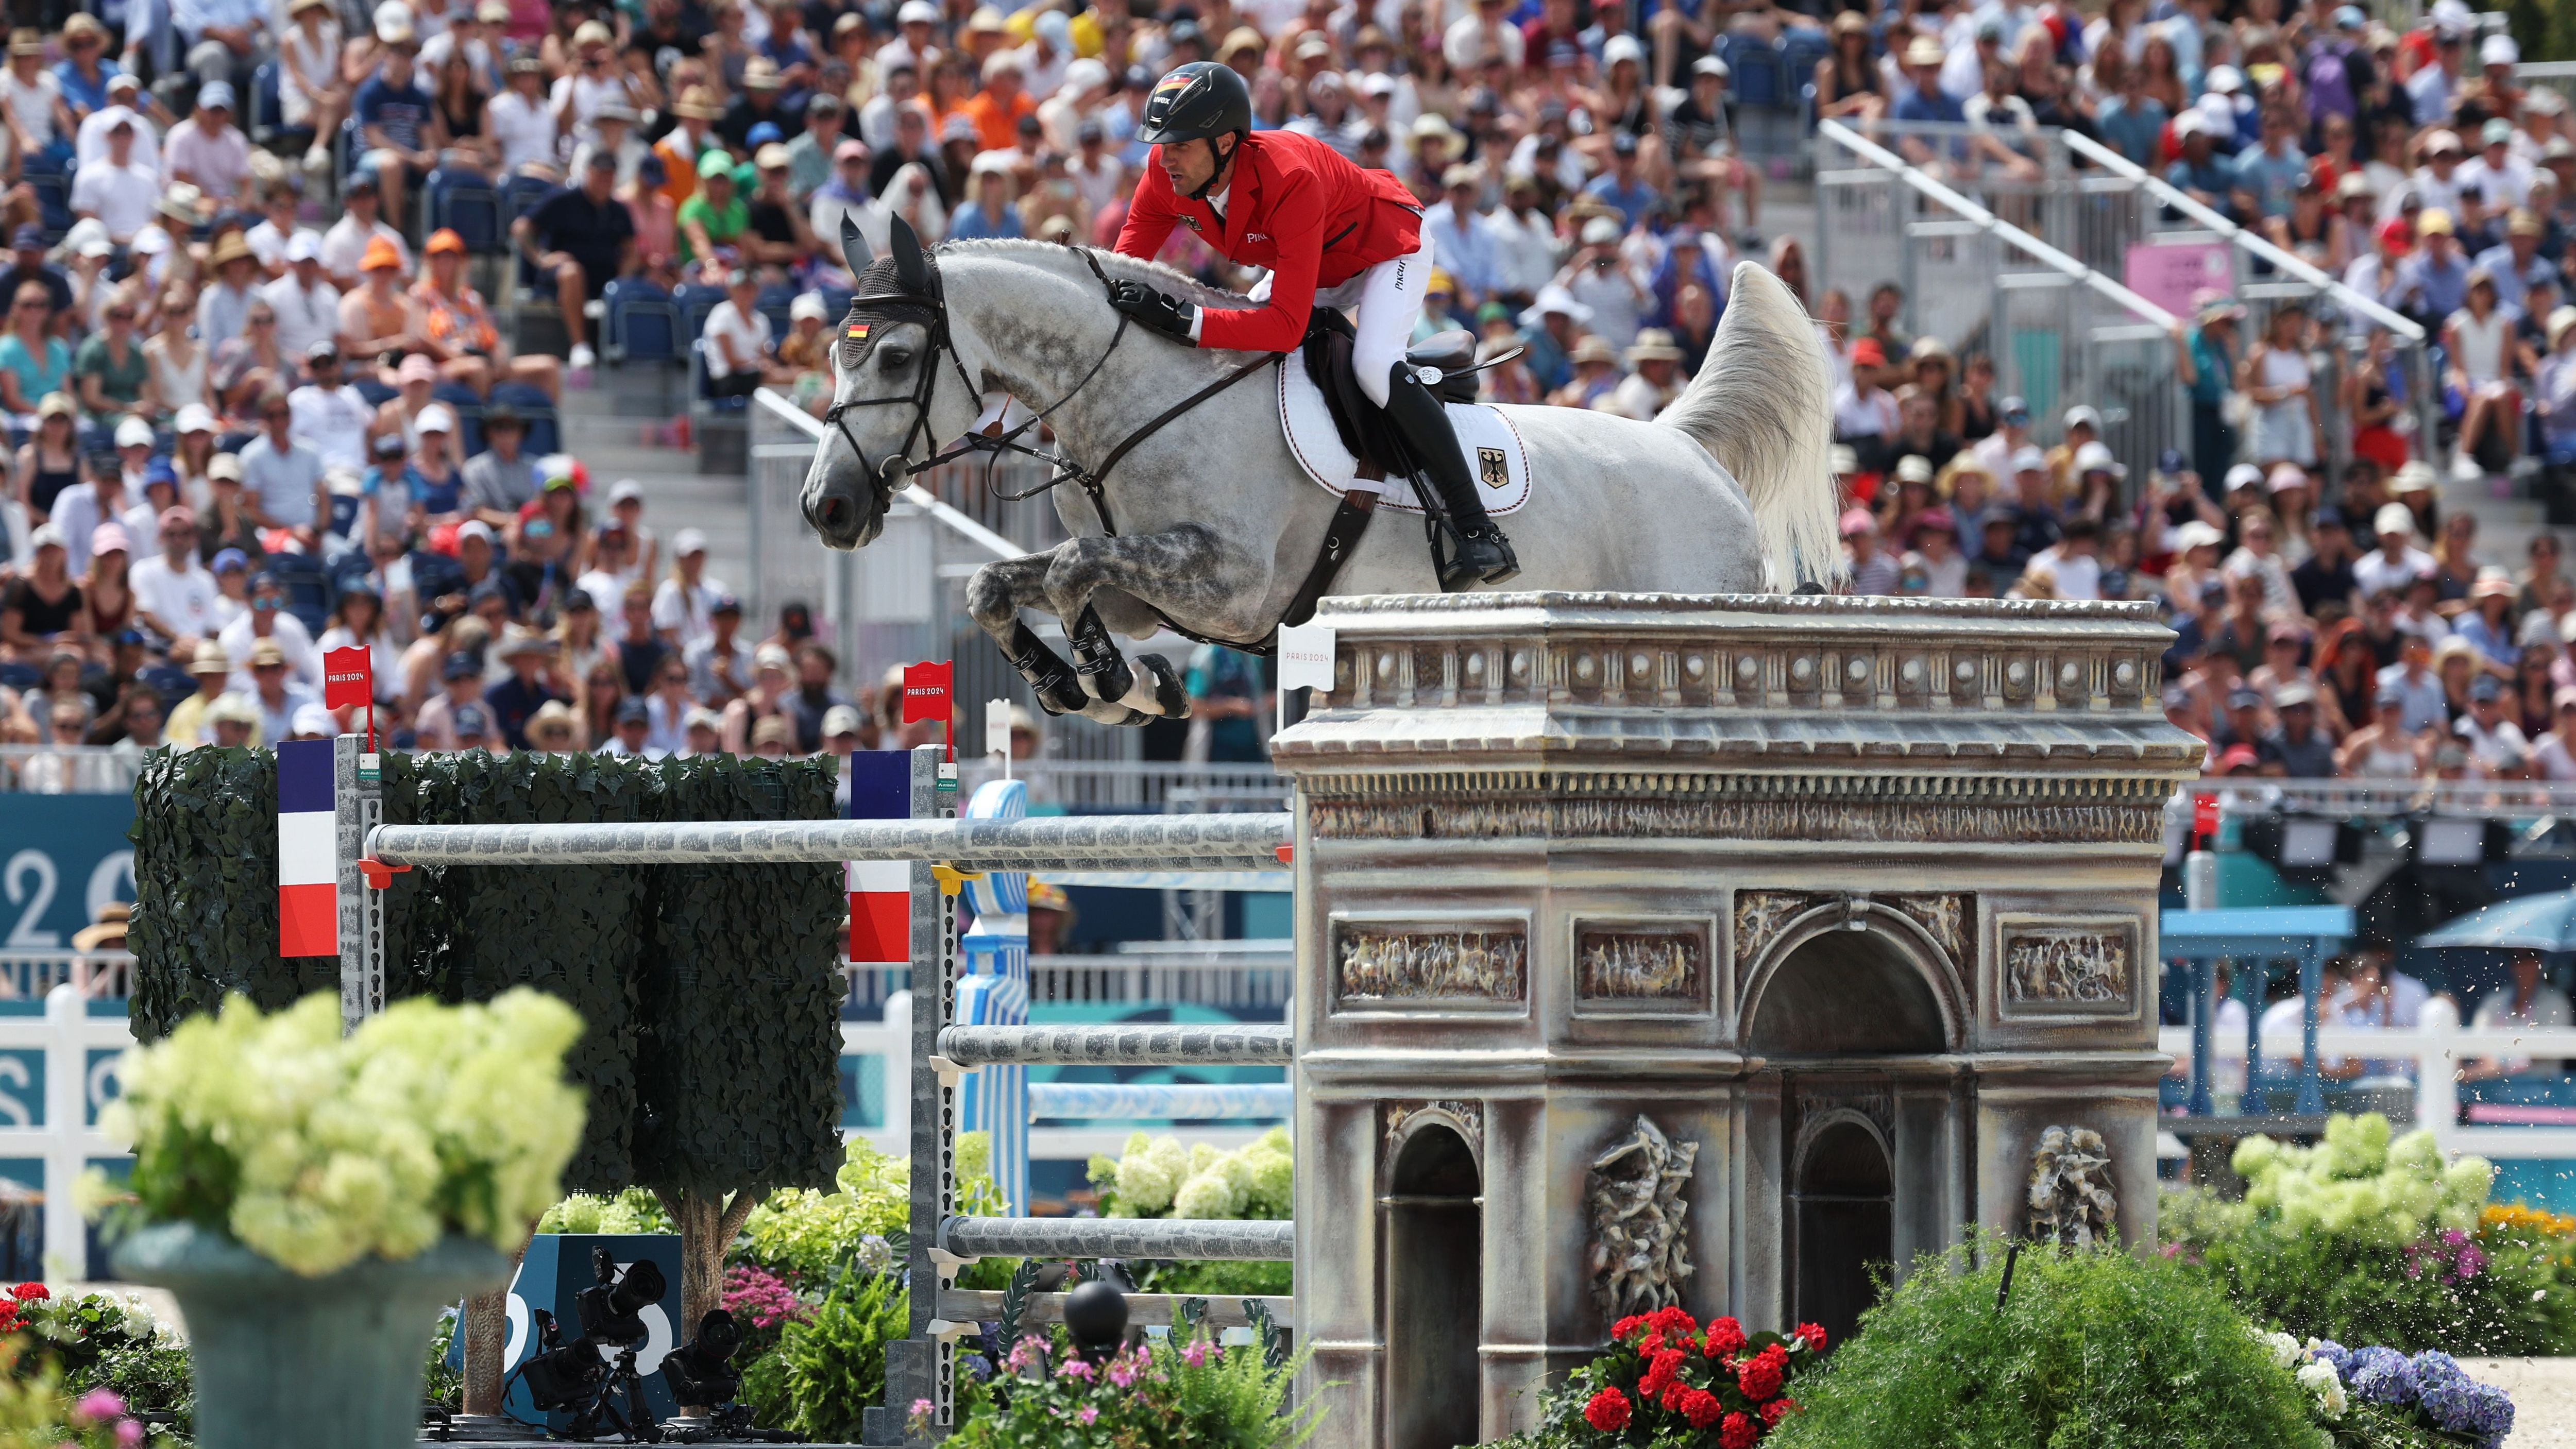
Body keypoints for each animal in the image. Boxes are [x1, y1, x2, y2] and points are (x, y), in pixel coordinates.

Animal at [804, 218, 1834, 725]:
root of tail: (1686, 447)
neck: (1139, 394)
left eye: (895, 357)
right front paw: (1107, 686)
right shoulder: (1147, 588)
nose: (827, 509)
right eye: (833, 358)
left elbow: (1064, 572)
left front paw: (1107, 682)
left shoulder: (1231, 586)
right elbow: (1009, 582)